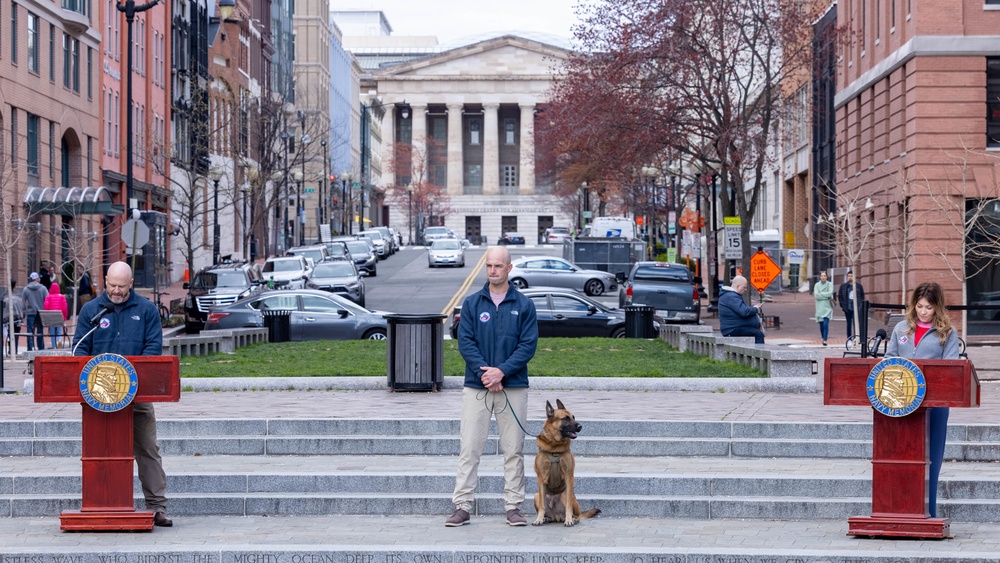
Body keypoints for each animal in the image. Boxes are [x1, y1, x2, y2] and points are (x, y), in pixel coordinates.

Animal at [532, 398, 600, 528]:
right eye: (566, 418)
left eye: (573, 417)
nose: (580, 426)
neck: (555, 448)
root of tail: (557, 516)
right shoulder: (540, 478)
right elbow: (542, 506)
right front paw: (539, 519)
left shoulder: (569, 476)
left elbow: (568, 506)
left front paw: (569, 520)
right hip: (536, 495)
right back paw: (546, 518)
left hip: (569, 496)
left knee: (577, 514)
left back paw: (572, 519)